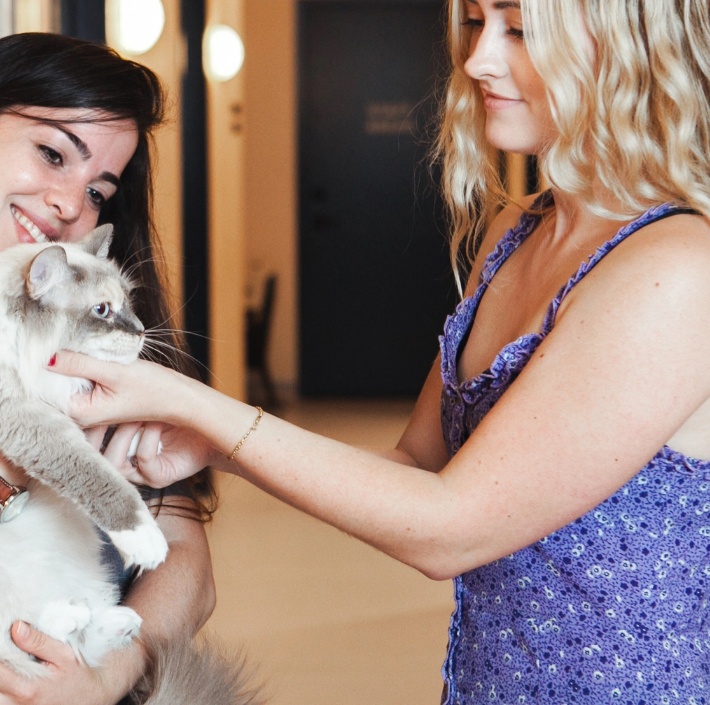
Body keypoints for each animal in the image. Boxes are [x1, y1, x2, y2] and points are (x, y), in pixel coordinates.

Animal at [0, 227, 258, 704]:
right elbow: (98, 478)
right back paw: (70, 614)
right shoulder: (29, 417)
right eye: (102, 310)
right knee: (22, 639)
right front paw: (146, 540)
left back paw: (107, 619)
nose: (139, 332)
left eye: (128, 304)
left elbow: (126, 439)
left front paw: (154, 442)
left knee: (77, 641)